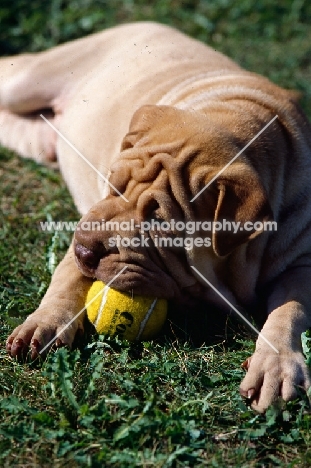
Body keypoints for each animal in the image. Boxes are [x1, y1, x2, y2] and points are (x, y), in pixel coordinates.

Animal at [0, 22, 311, 410]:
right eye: (112, 185)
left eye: (159, 222)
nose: (85, 251)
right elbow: (67, 275)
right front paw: (44, 321)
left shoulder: (302, 264)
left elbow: (290, 309)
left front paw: (277, 365)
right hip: (27, 79)